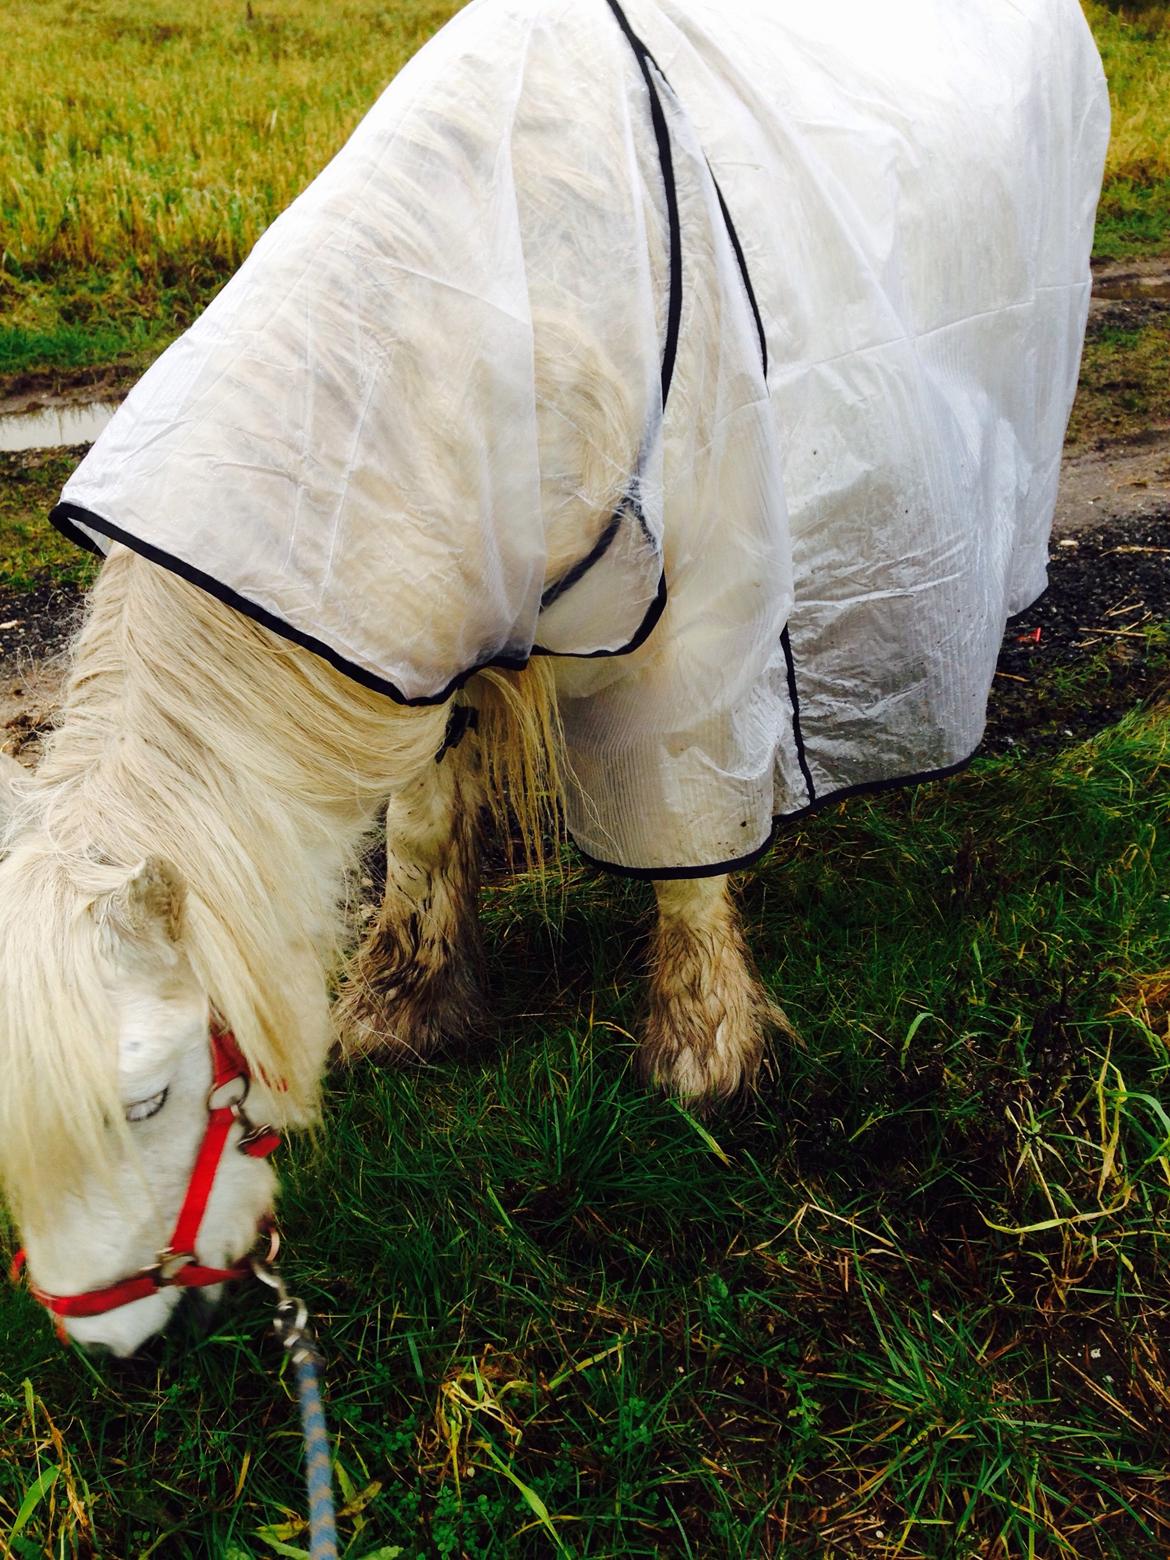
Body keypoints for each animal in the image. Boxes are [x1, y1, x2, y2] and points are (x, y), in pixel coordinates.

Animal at [0, 0, 1107, 1355]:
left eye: (150, 1097)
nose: (104, 1337)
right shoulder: (433, 619)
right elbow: (423, 828)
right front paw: (406, 1006)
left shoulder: (702, 619)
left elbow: (687, 842)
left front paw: (702, 1053)